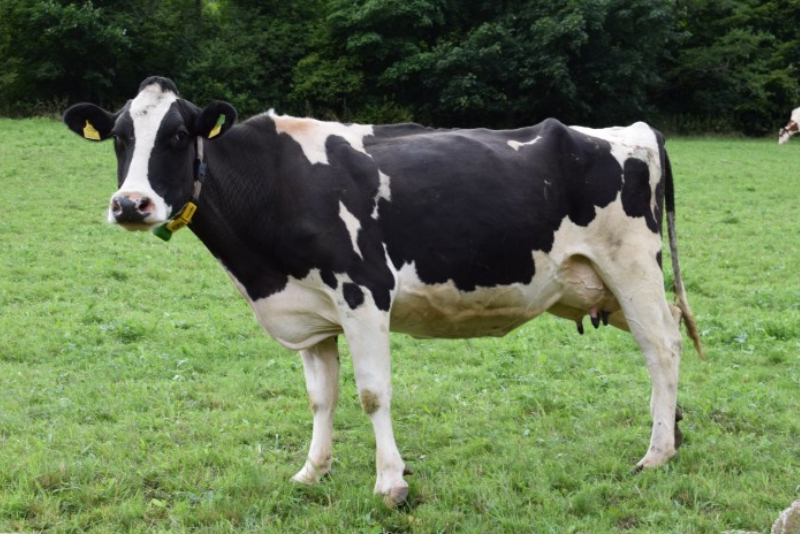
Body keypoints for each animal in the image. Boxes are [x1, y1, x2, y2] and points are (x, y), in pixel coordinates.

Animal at [64, 77, 700, 508]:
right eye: (119, 138)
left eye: (177, 135)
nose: (131, 204)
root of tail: (633, 130)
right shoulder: (311, 314)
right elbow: (321, 398)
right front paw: (312, 471)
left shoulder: (364, 294)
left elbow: (372, 393)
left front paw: (391, 483)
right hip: (604, 285)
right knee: (669, 334)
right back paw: (674, 432)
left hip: (631, 267)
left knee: (662, 348)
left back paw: (655, 454)